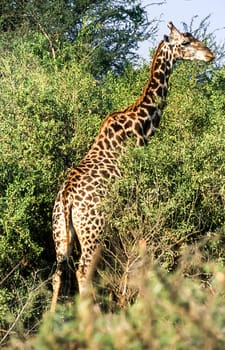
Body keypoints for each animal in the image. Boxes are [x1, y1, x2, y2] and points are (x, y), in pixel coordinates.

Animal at [51, 22, 214, 312]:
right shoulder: (132, 200)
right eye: (185, 42)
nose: (210, 55)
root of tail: (67, 198)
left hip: (60, 231)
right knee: (83, 271)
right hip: (93, 230)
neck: (140, 126)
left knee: (58, 274)